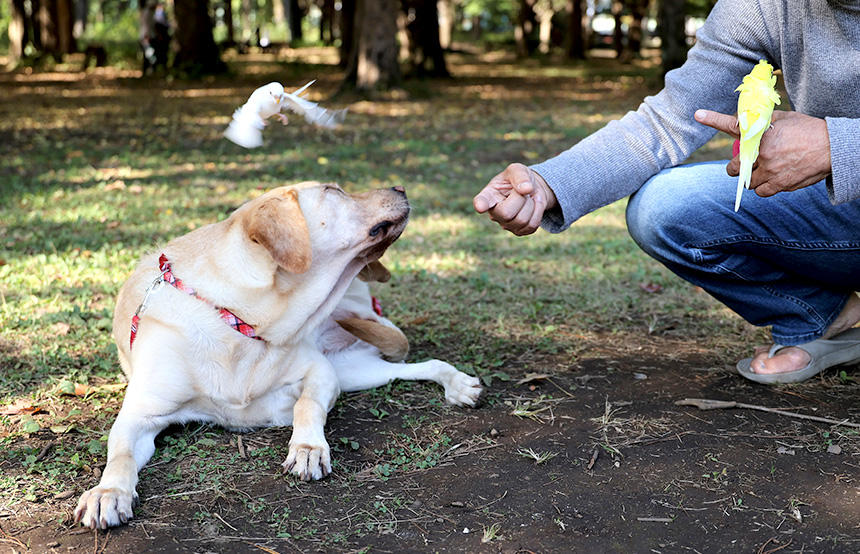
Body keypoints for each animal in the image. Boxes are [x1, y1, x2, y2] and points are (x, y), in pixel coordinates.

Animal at [75, 181, 484, 528]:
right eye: (333, 190)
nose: (400, 187)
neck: (237, 320)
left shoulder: (321, 372)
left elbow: (306, 406)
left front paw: (307, 447)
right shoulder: (140, 415)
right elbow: (120, 455)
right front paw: (107, 492)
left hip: (351, 364)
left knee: (424, 363)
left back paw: (460, 385)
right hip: (356, 369)